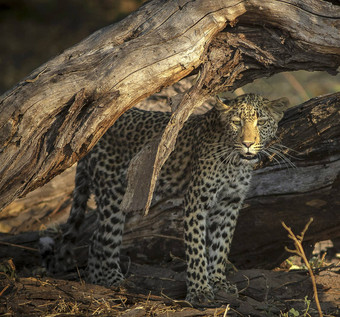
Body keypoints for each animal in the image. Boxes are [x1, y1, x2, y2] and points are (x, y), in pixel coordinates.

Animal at [49, 93, 290, 306]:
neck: (236, 163)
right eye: (236, 122)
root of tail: (90, 139)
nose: (248, 143)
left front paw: (218, 282)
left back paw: (97, 279)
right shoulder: (196, 202)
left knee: (95, 239)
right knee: (104, 238)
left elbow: (221, 246)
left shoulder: (229, 204)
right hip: (112, 194)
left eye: (262, 122)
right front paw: (200, 292)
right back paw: (112, 279)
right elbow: (196, 249)